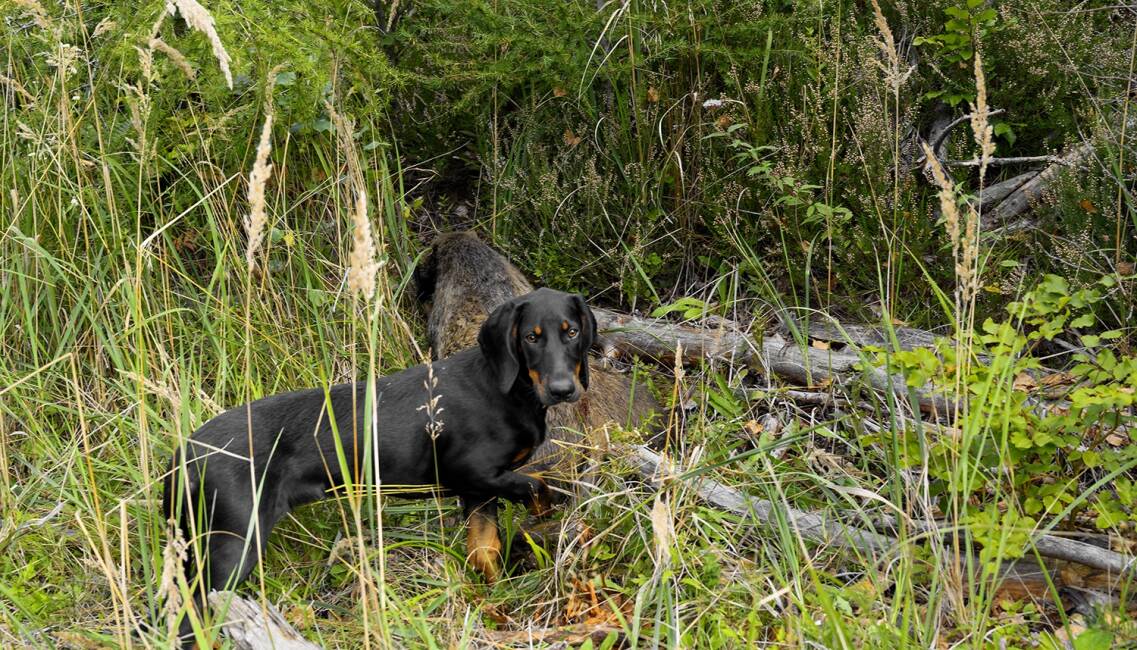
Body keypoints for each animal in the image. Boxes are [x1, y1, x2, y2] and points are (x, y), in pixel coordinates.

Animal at [168, 286, 600, 636]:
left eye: (572, 332)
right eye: (530, 337)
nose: (563, 390)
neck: (507, 391)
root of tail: (185, 455)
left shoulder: (479, 491)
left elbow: (485, 552)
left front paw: (497, 608)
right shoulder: (471, 472)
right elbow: (536, 484)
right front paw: (546, 511)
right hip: (233, 544)